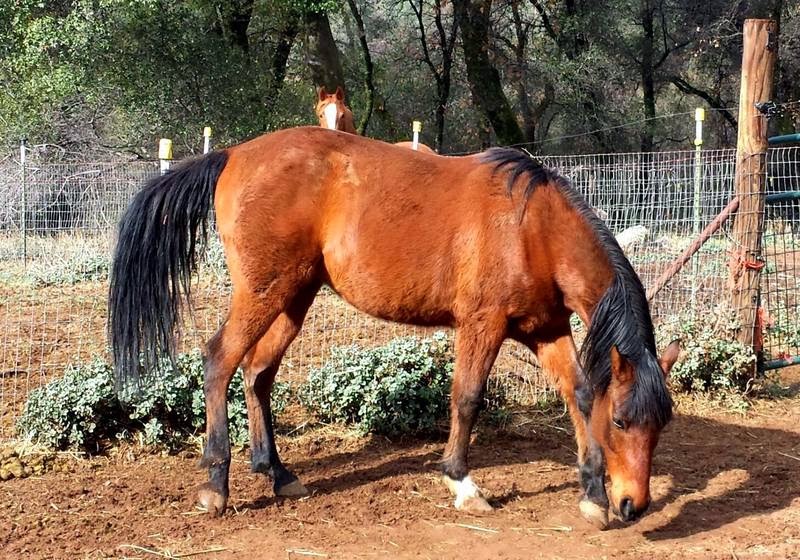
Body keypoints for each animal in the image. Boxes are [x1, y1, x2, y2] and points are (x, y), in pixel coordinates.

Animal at [109, 126, 679, 528]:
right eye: (623, 422)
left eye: (660, 425)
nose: (633, 504)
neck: (532, 226)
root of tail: (232, 154)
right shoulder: (482, 324)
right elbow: (467, 398)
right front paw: (462, 484)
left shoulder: (545, 329)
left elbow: (580, 394)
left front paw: (593, 496)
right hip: (263, 293)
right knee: (219, 361)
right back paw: (216, 485)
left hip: (294, 297)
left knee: (257, 373)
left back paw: (278, 473)